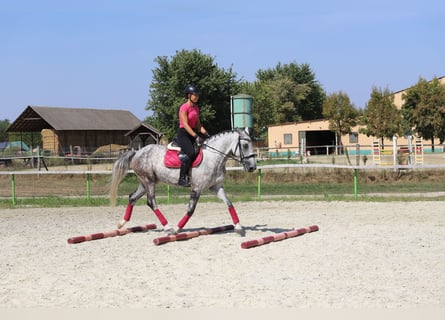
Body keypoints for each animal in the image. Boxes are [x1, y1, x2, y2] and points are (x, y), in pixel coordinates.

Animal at [109, 127, 256, 235]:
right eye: (245, 145)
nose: (252, 167)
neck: (213, 157)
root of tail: (137, 152)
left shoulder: (216, 187)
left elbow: (229, 203)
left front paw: (238, 227)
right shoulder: (197, 188)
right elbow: (190, 210)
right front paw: (177, 228)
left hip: (145, 182)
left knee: (132, 197)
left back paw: (121, 223)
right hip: (148, 181)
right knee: (151, 202)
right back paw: (168, 227)